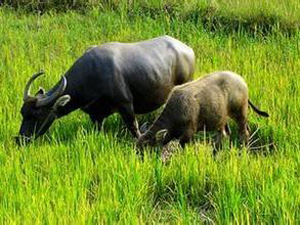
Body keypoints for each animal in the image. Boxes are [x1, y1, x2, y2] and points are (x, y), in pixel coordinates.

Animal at [15, 35, 195, 144]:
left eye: (37, 114)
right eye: (23, 113)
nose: (20, 139)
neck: (92, 75)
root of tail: (188, 50)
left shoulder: (125, 105)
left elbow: (134, 128)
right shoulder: (95, 115)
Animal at [136, 71, 270, 150]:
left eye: (146, 147)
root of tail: (242, 81)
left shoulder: (188, 133)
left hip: (240, 113)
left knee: (244, 132)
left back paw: (244, 149)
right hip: (222, 118)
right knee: (224, 134)